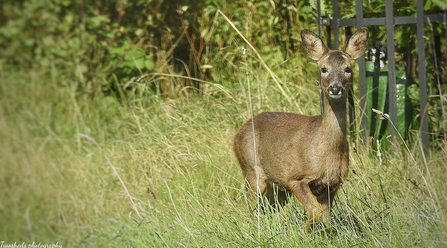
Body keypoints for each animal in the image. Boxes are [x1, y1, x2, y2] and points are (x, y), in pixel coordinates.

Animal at [233, 27, 370, 229]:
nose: (335, 88)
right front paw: (306, 232)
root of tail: (238, 132)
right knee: (246, 205)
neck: (325, 151)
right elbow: (315, 213)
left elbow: (326, 219)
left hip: (278, 187)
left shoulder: (331, 185)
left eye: (348, 69)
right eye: (323, 69)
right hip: (252, 171)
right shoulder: (294, 178)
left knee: (267, 209)